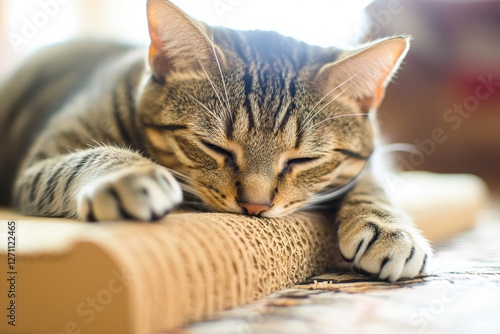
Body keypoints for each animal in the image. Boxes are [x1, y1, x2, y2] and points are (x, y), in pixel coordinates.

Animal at [0, 0, 430, 282]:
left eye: (302, 161)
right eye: (215, 148)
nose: (255, 206)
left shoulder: (372, 159)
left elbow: (371, 182)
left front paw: (391, 229)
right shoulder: (40, 163)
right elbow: (89, 157)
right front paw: (128, 175)